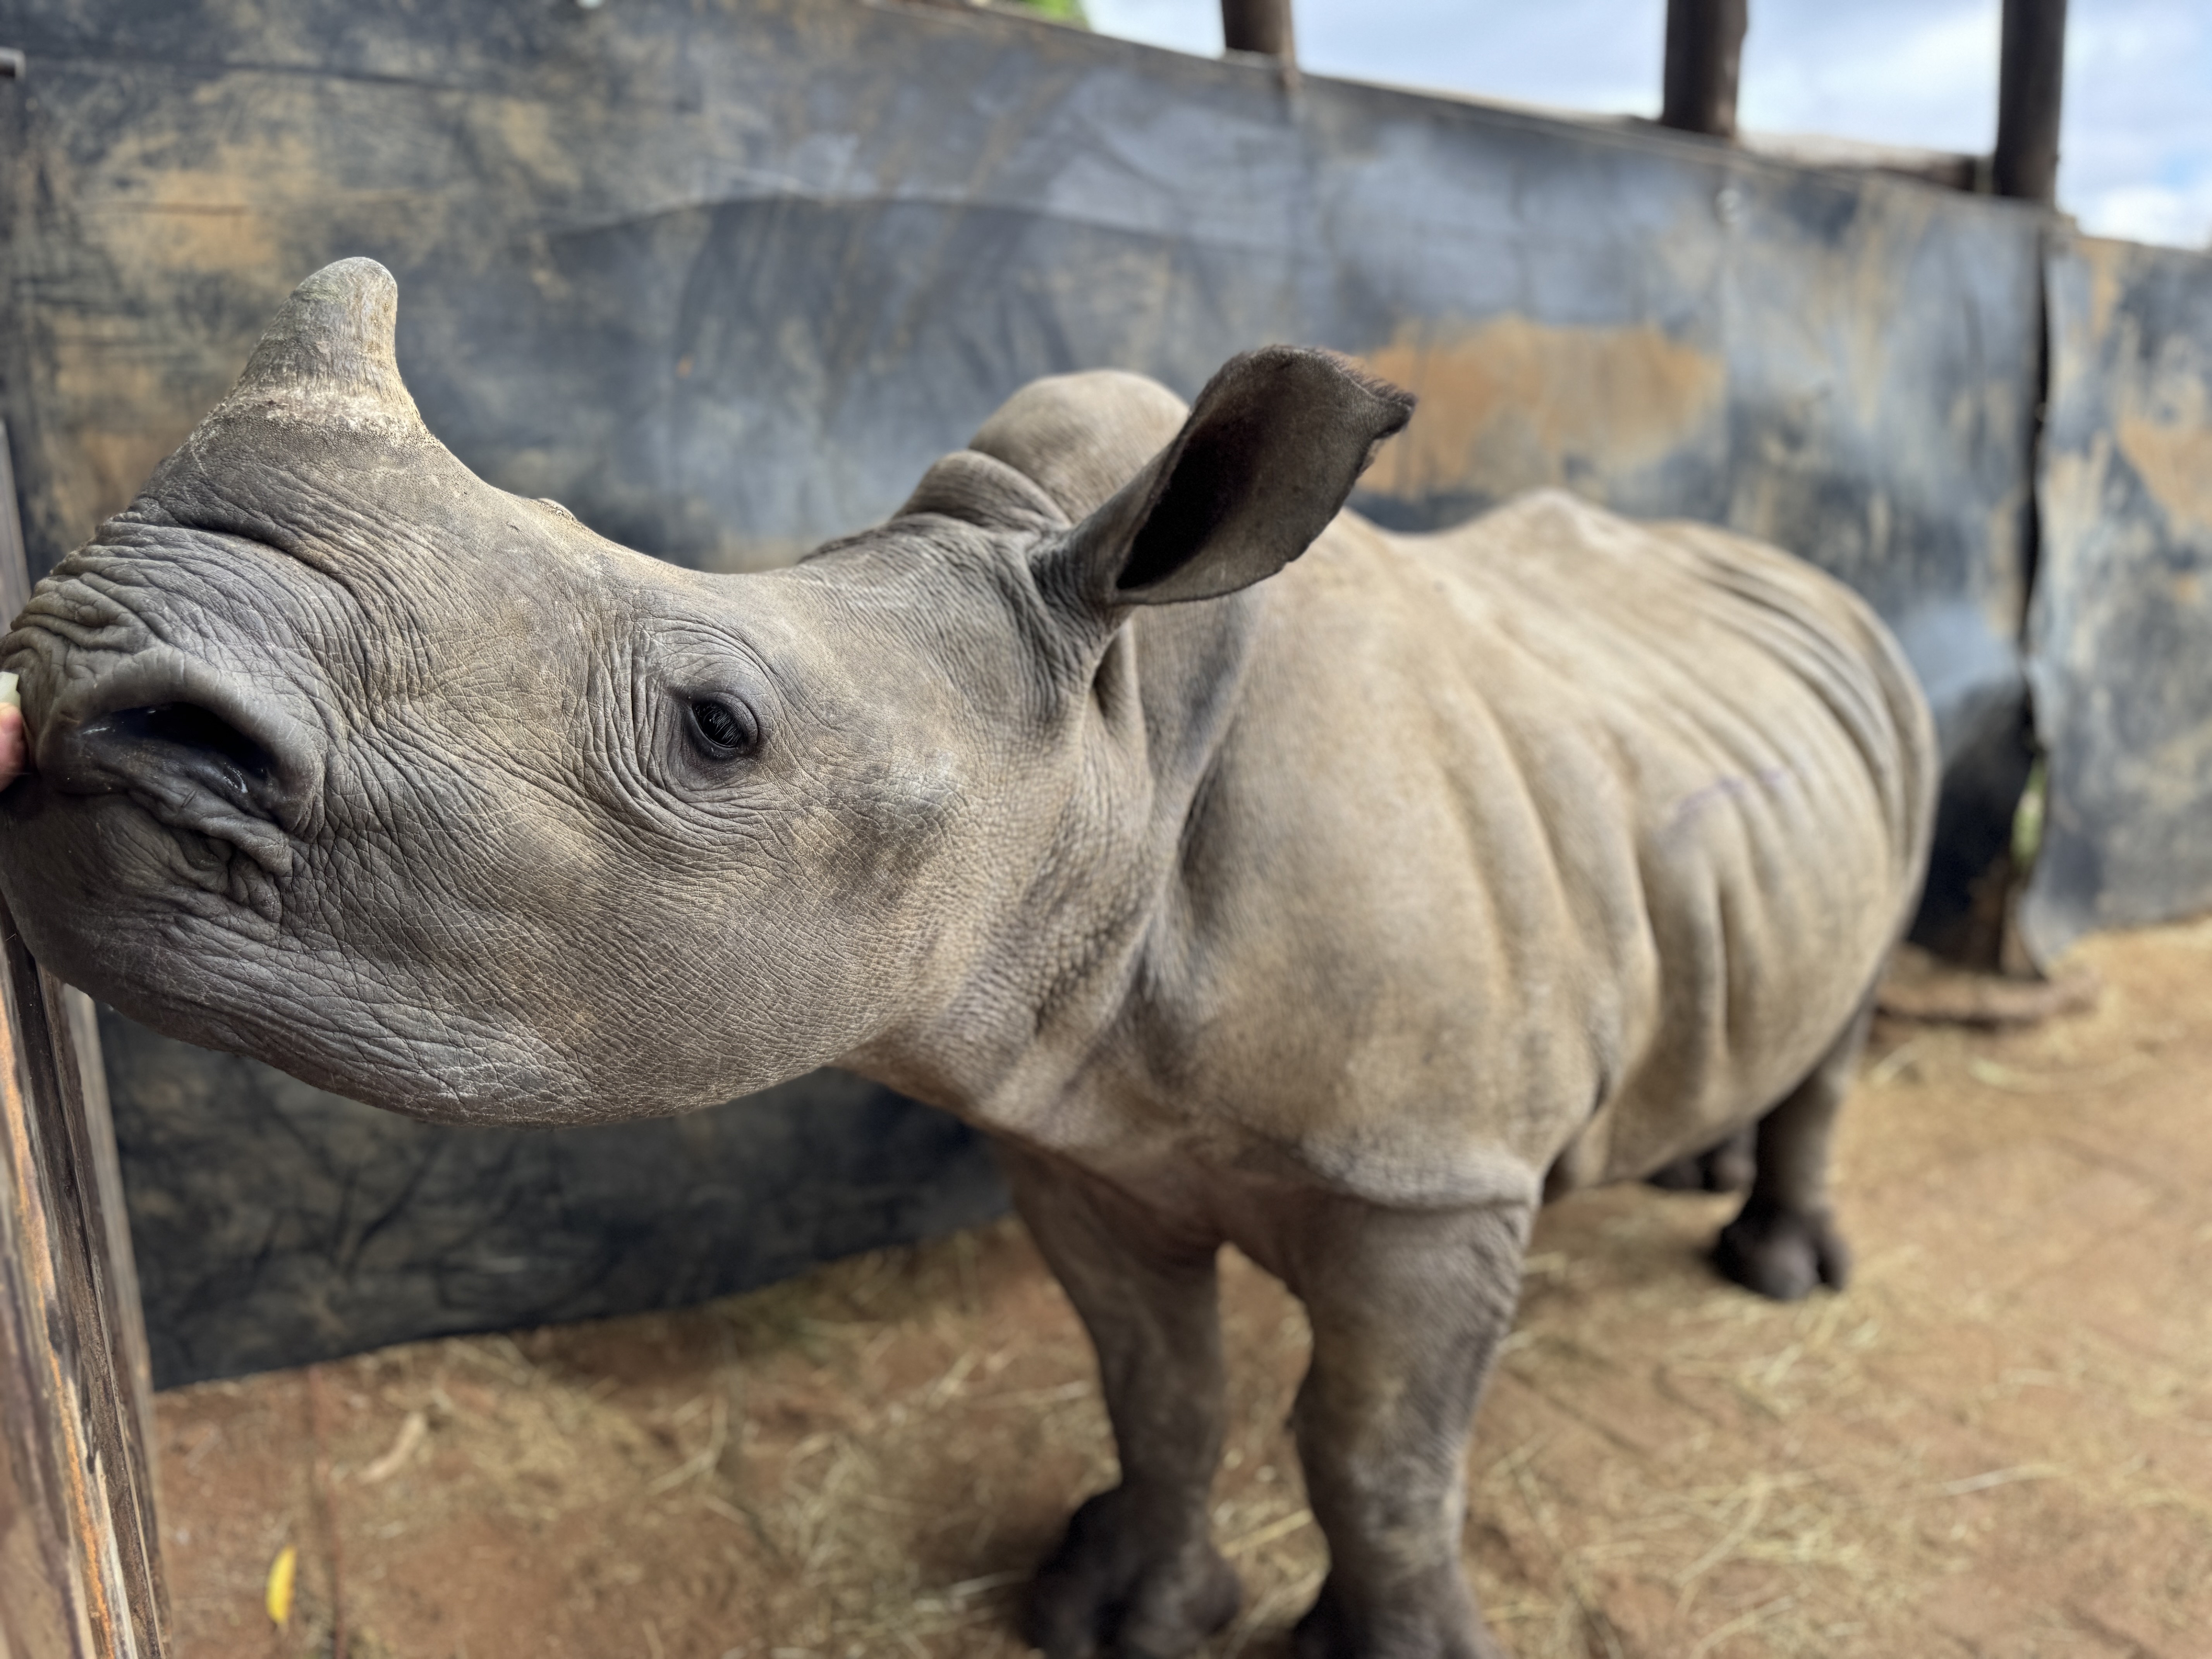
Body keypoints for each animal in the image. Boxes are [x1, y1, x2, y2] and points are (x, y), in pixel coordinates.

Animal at [0, 261, 1935, 1659]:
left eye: (717, 726)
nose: (85, 683)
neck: (1118, 736)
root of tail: (1809, 580)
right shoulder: (1077, 1124)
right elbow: (1161, 1387)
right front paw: (1111, 1613)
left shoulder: (1424, 1166)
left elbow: (1377, 1452)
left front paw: (1381, 1649)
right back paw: (1691, 1162)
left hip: (1888, 705)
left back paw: (1777, 1267)